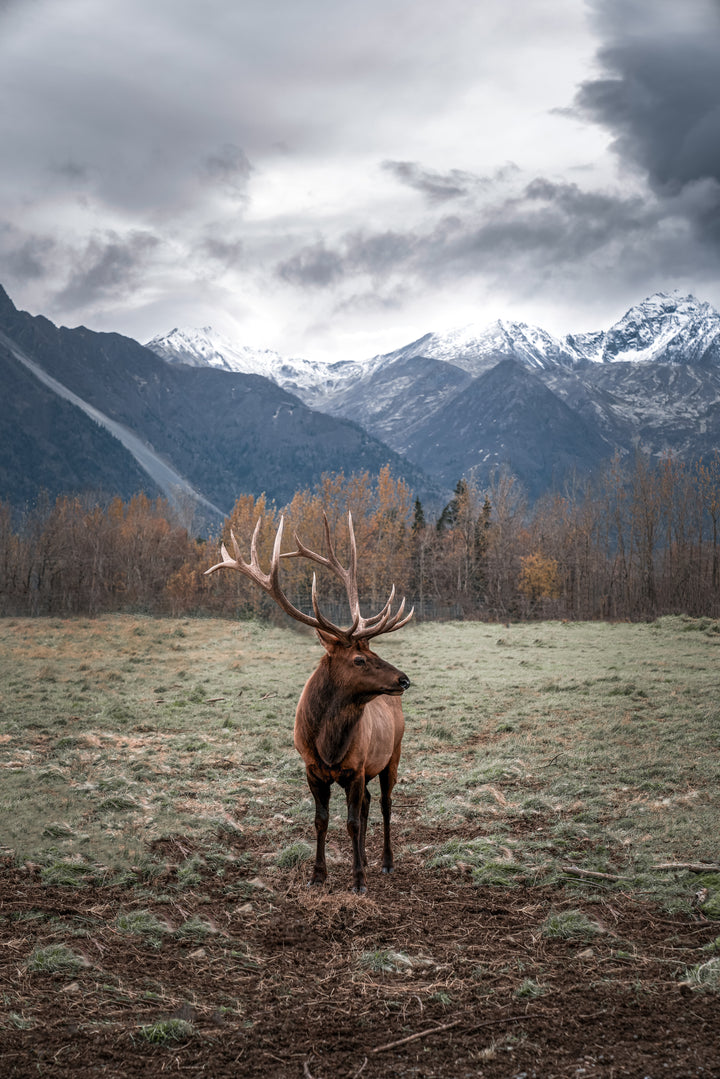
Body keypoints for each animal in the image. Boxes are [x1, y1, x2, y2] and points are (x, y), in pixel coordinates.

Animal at [205, 512, 412, 894]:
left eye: (374, 651)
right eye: (359, 659)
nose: (403, 679)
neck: (328, 744)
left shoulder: (356, 769)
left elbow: (351, 823)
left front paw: (358, 880)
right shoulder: (312, 769)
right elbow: (322, 820)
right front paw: (318, 875)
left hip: (394, 753)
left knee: (386, 804)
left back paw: (386, 862)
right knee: (368, 805)